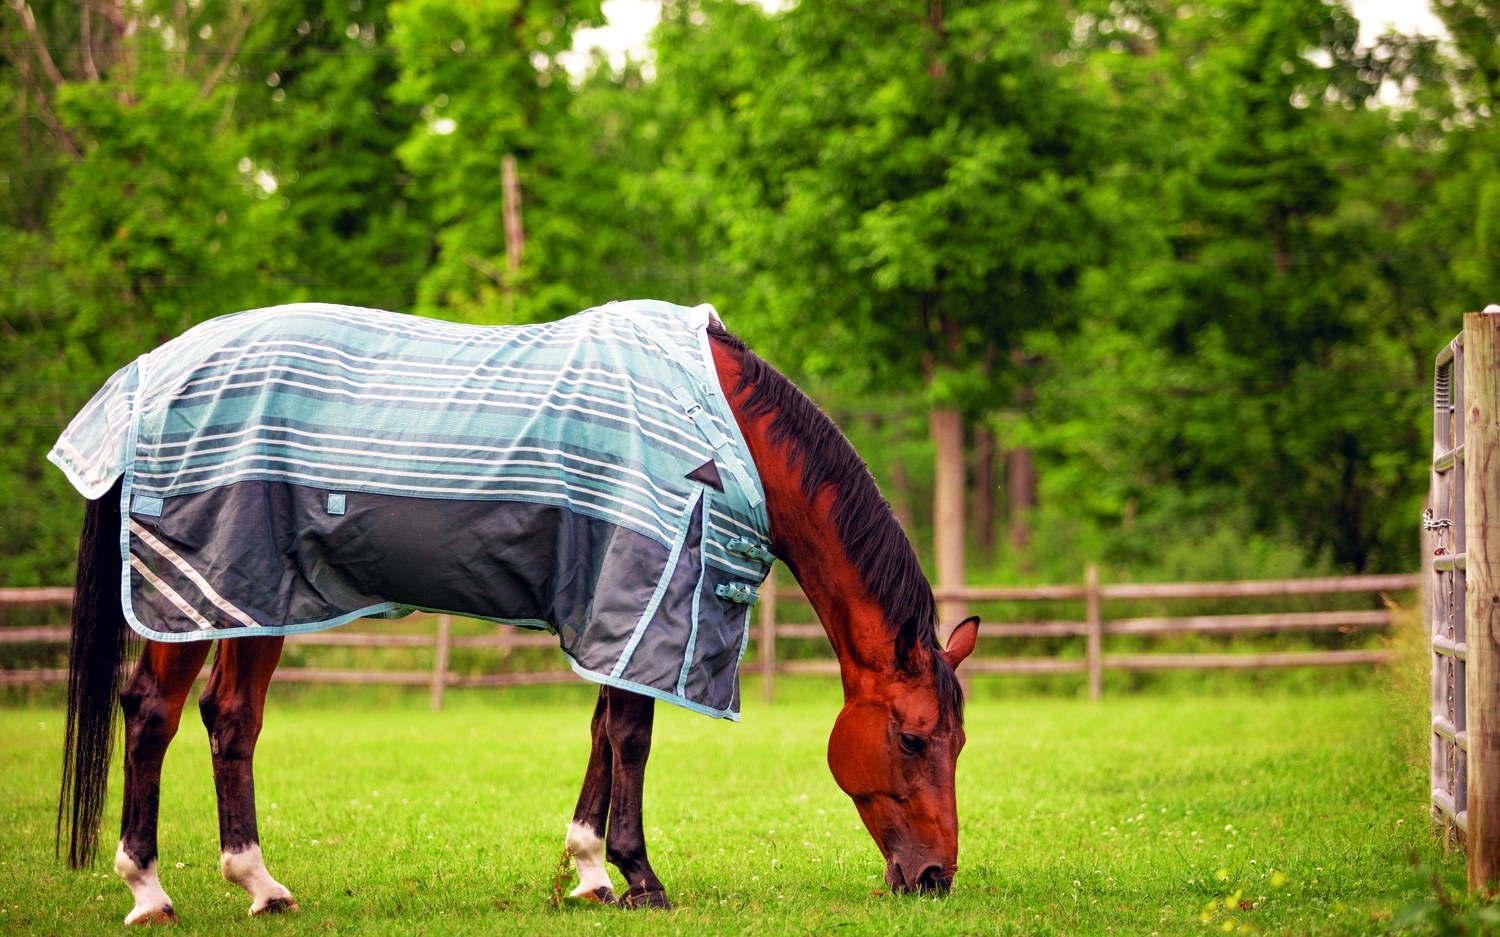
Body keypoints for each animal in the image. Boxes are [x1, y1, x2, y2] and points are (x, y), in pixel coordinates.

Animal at [51, 301, 980, 923]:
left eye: (959, 741)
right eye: (912, 737)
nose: (936, 877)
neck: (722, 437)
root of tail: (146, 375)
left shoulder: (621, 607)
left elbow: (605, 731)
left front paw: (592, 871)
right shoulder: (645, 588)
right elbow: (632, 735)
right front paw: (641, 878)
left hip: (258, 594)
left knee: (231, 717)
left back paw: (260, 884)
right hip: (197, 591)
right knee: (153, 713)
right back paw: (149, 889)